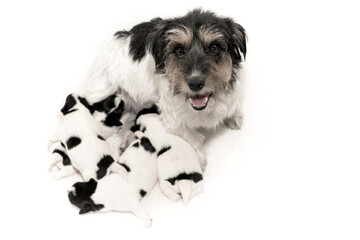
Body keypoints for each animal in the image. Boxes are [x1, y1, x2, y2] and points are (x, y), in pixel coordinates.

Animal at [80, 8, 246, 169]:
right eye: (179, 50)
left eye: (214, 47)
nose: (195, 83)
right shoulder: (173, 118)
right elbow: (192, 137)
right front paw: (199, 159)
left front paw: (234, 116)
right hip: (102, 91)